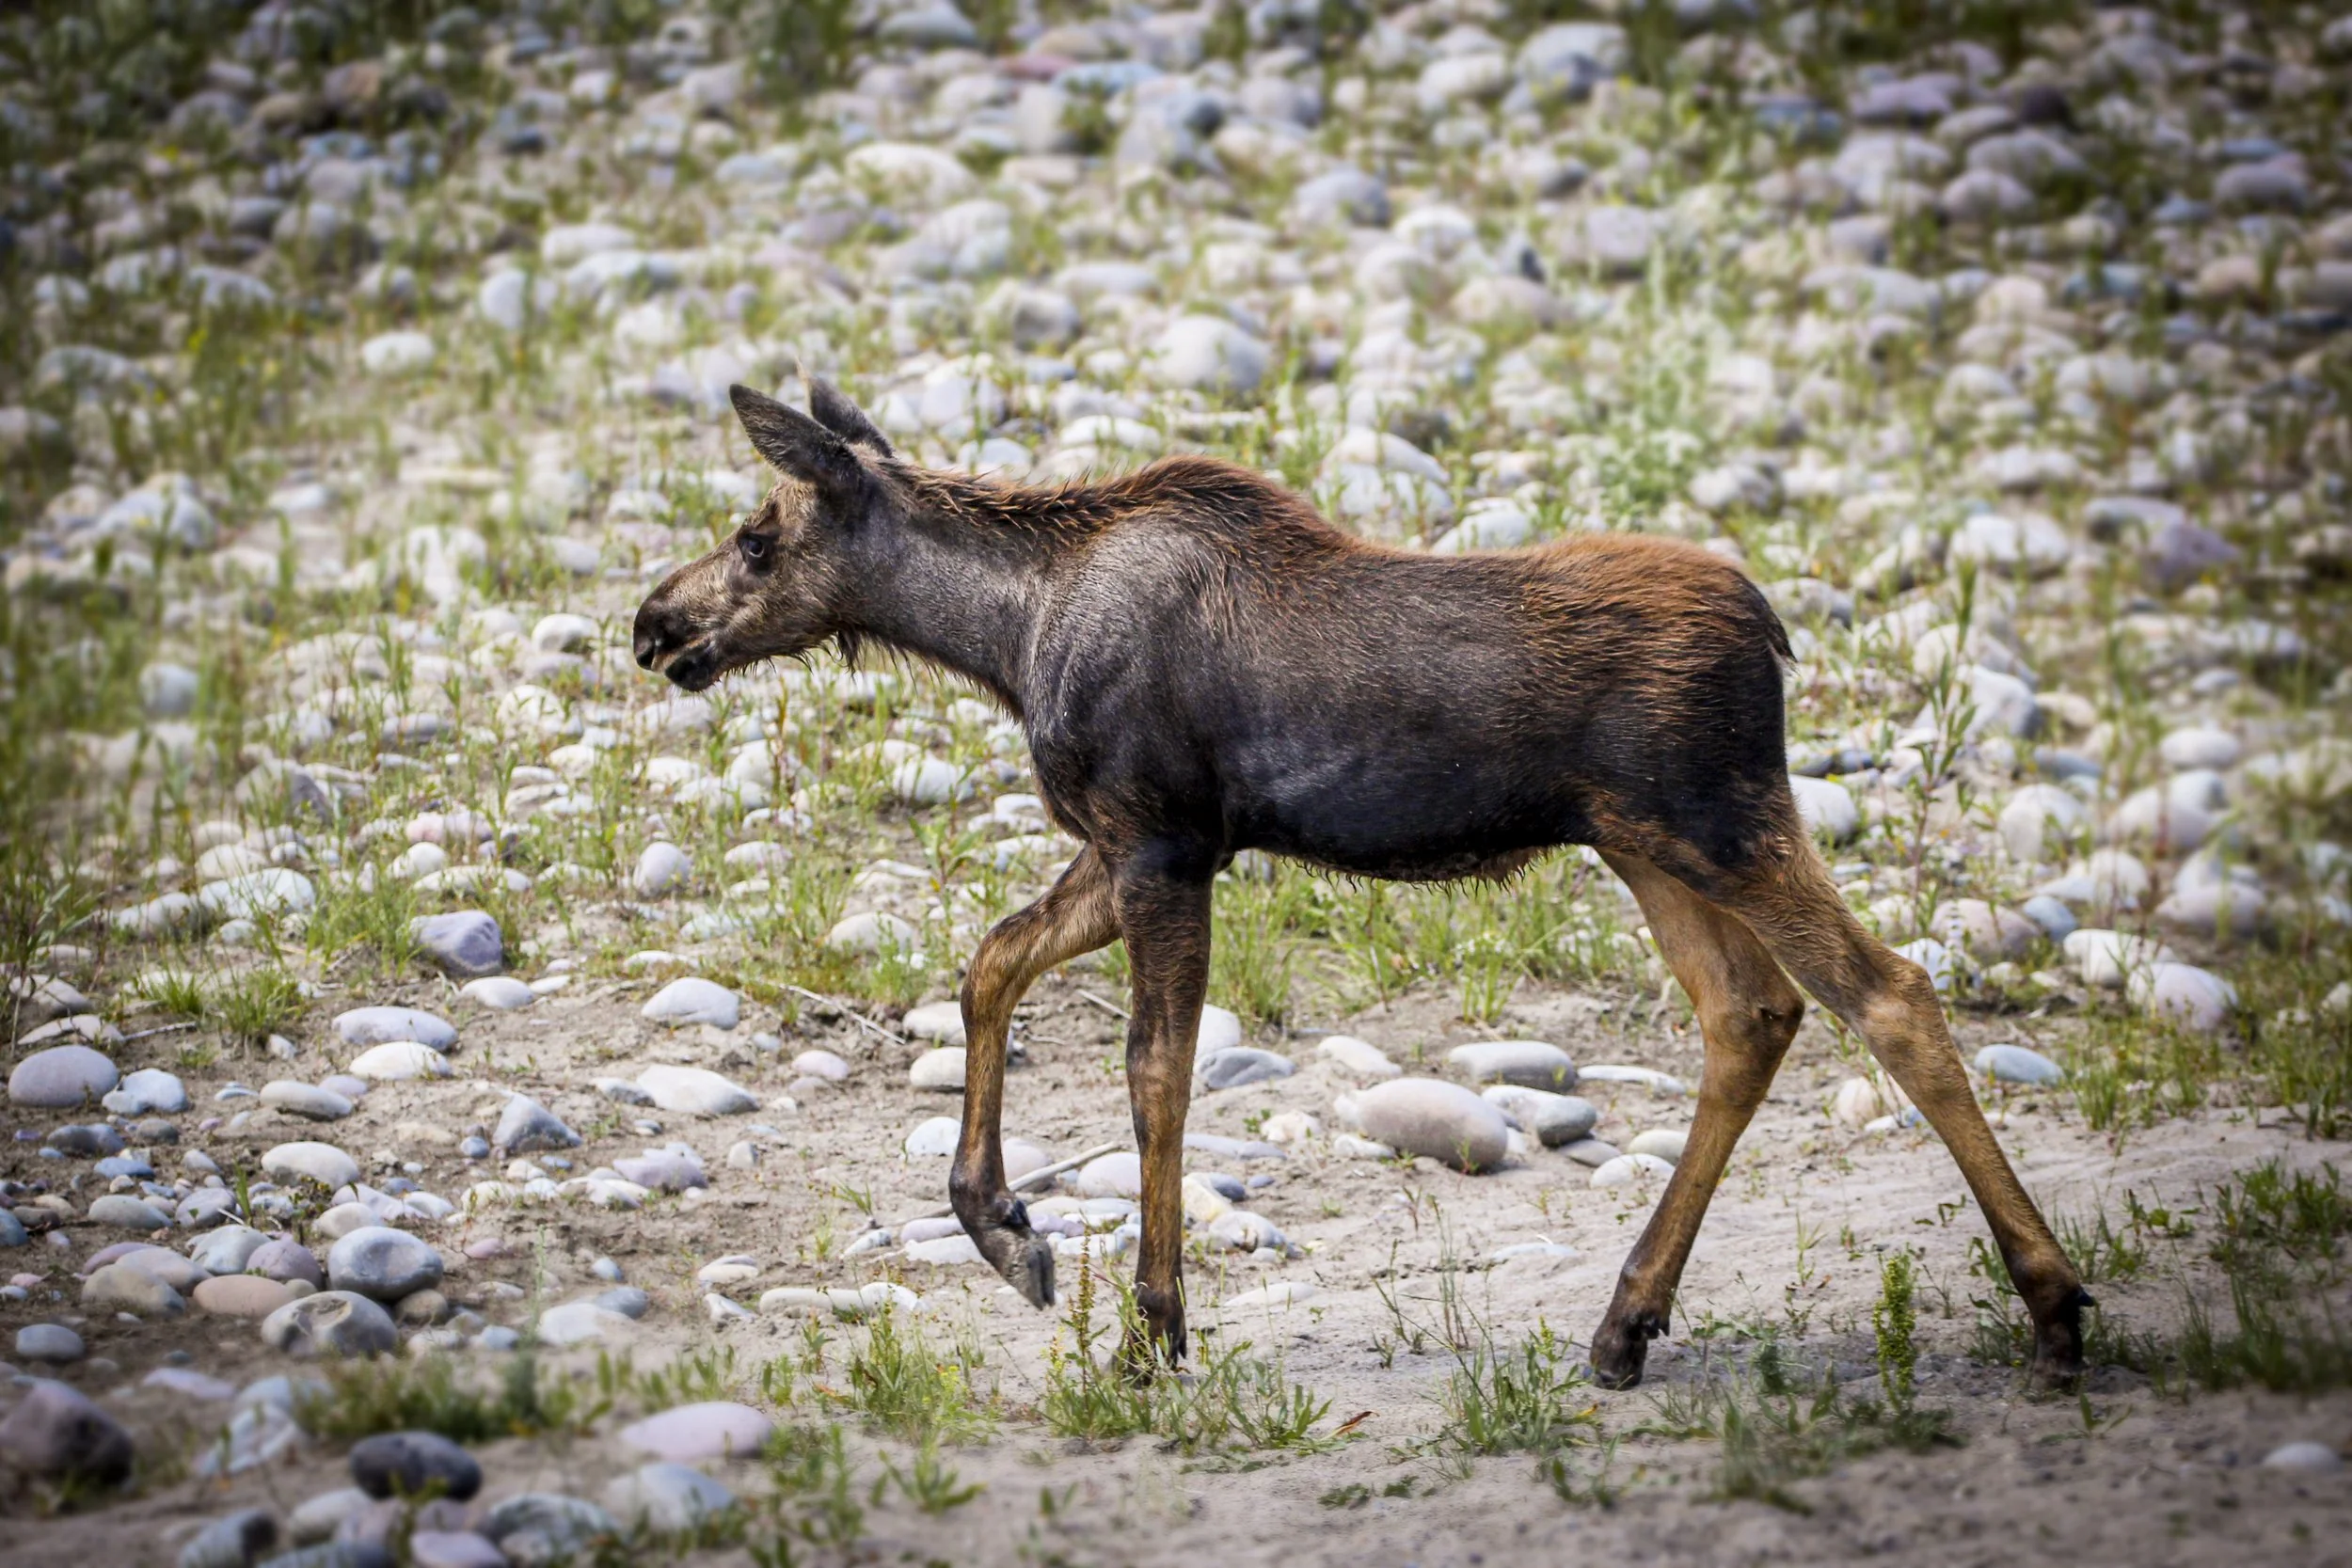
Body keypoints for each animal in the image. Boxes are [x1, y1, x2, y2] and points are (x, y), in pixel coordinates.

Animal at [633, 379, 2091, 1389]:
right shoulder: (1135, 842)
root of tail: (1777, 630)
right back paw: (1626, 1321)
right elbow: (988, 962)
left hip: (1720, 820)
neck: (1006, 632)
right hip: (1641, 841)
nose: (654, 622)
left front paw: (1152, 1327)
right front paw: (1007, 1228)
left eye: (756, 535)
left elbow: (1154, 1073)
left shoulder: (1160, 844)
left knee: (1890, 992)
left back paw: (2056, 1300)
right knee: (1753, 1014)